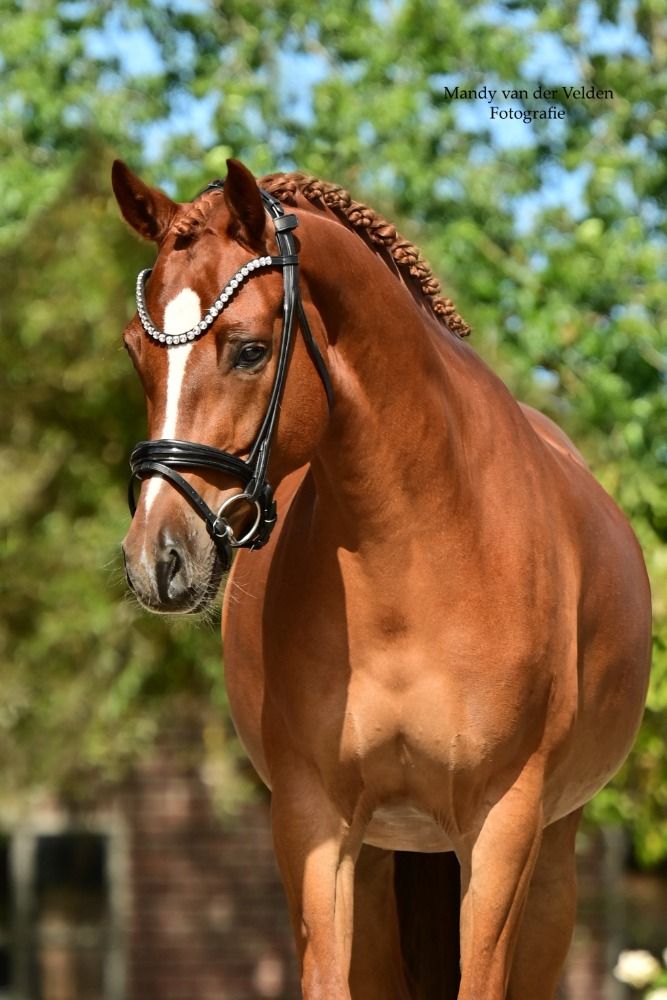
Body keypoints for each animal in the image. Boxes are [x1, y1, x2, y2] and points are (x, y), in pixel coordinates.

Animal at [113, 157, 652, 999]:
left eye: (249, 350)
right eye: (137, 349)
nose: (157, 561)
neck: (413, 559)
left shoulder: (501, 828)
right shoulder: (316, 823)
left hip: (549, 864)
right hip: (381, 863)